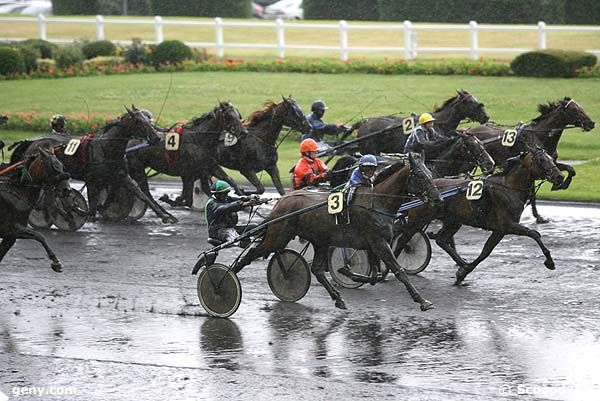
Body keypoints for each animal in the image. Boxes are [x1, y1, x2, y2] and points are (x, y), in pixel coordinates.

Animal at [10, 106, 175, 223]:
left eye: (148, 120)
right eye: (138, 121)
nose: (156, 138)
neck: (107, 148)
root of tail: (31, 142)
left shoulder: (122, 175)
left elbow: (140, 193)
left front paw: (166, 216)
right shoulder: (92, 180)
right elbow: (91, 208)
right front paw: (77, 210)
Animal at [233, 153, 440, 310]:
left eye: (430, 172)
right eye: (420, 175)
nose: (437, 199)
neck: (377, 201)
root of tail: (282, 201)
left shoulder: (374, 244)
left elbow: (375, 275)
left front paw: (350, 274)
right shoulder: (379, 243)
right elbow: (398, 271)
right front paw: (422, 301)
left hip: (320, 241)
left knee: (317, 269)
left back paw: (338, 298)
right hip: (278, 236)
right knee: (253, 253)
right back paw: (229, 277)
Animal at [396, 145, 564, 282]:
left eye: (551, 158)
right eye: (541, 160)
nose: (559, 176)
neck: (508, 188)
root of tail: (424, 191)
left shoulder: (500, 230)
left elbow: (485, 252)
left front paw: (463, 272)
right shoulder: (508, 225)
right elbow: (534, 234)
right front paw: (550, 262)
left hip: (454, 221)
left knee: (441, 240)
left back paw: (461, 262)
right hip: (417, 220)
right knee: (403, 240)